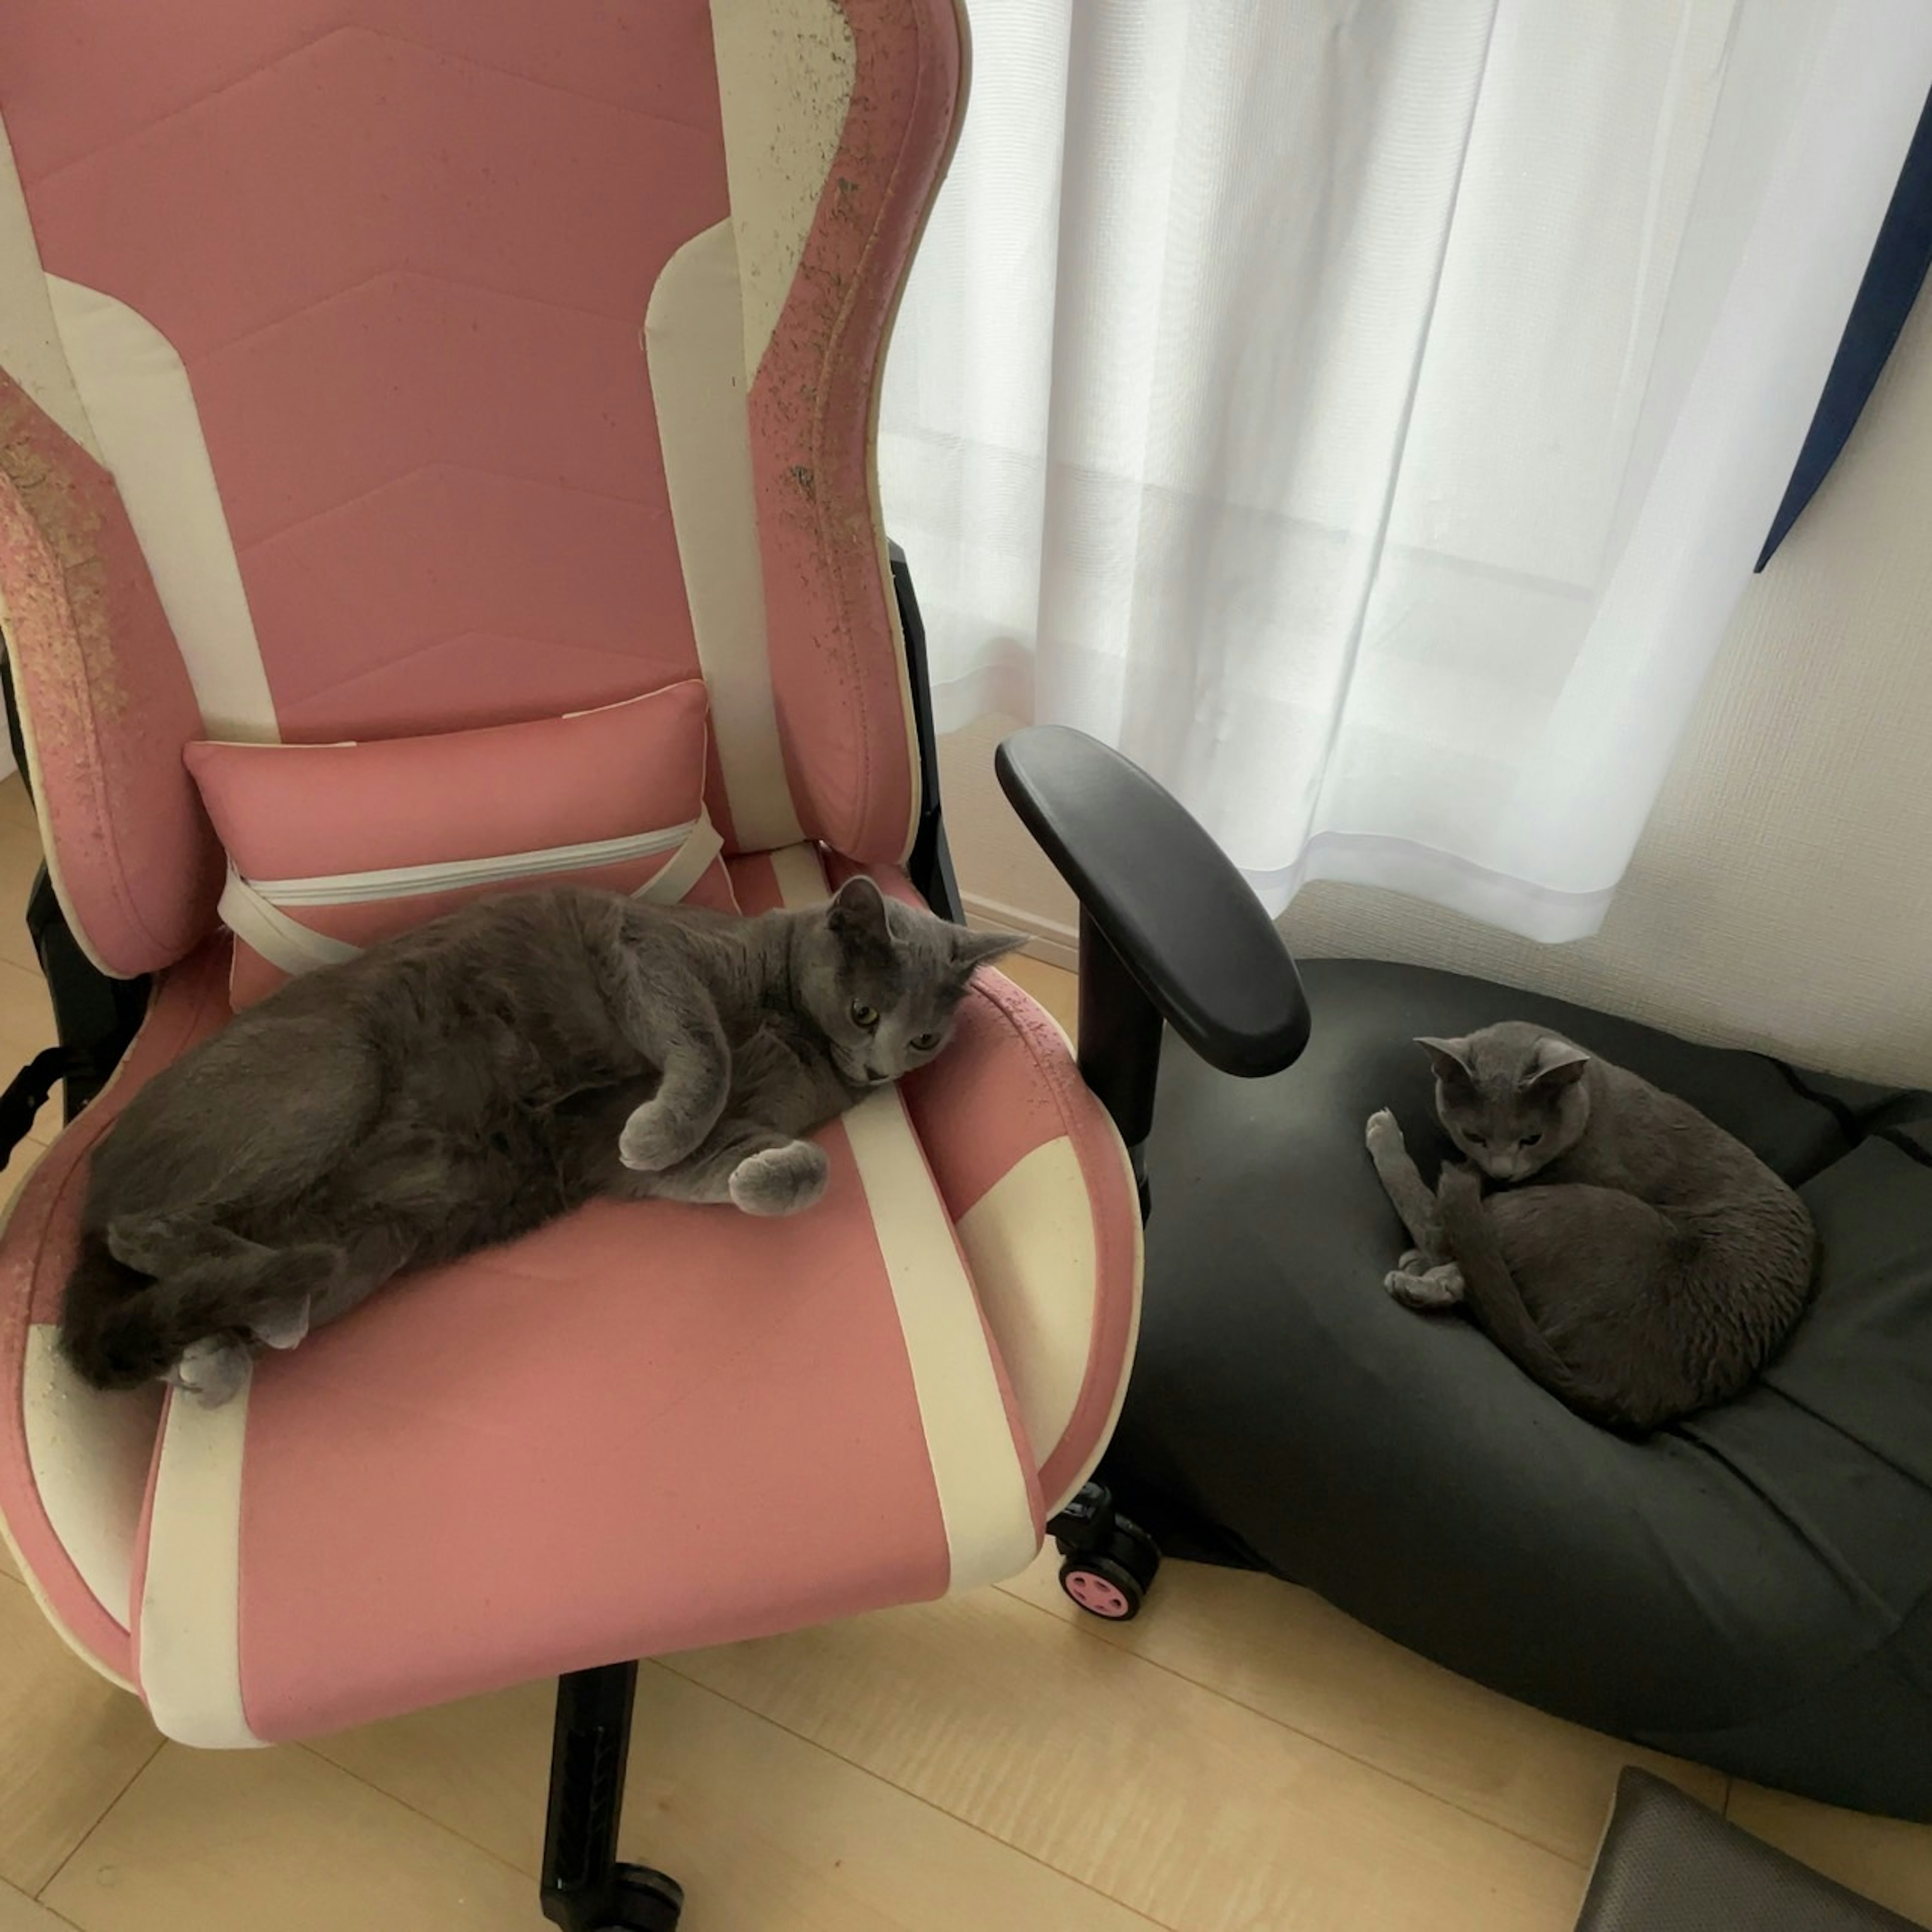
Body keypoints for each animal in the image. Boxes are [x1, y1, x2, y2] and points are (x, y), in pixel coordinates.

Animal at [60, 877, 1027, 1406]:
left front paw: (753, 1180)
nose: (880, 1067)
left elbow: (797, 1167)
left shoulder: (668, 1147)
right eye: (865, 1012)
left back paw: (226, 1346)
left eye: (925, 1039)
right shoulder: (652, 952)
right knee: (144, 1229)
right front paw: (657, 1130)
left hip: (376, 1240)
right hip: (334, 1078)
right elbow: (706, 1054)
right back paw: (250, 1305)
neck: (797, 1034)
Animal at [1367, 1027, 1816, 1437]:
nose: (1502, 1171)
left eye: (1532, 1137)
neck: (1594, 1104)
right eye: (1474, 1135)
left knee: (1444, 1236)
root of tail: (1632, 1395)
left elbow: (1443, 1226)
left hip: (1577, 1210)